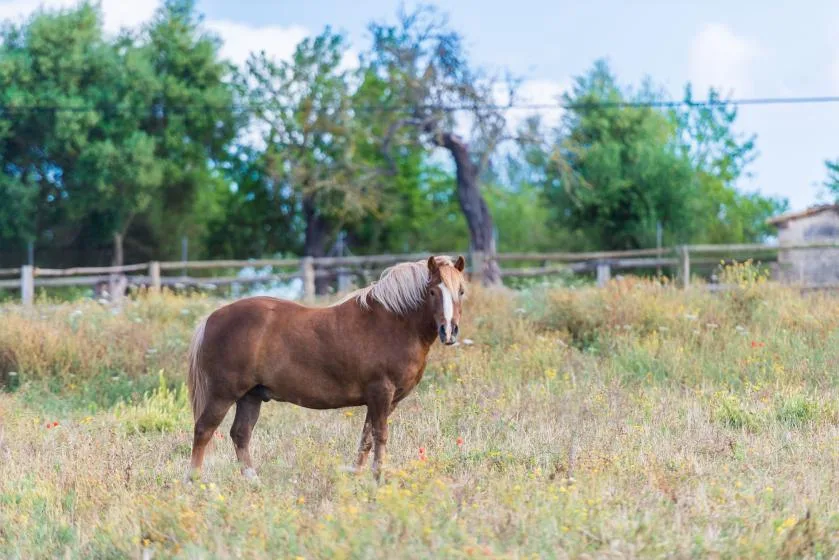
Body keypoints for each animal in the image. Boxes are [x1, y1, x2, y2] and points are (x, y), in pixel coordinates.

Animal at [185, 255, 467, 482]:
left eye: (461, 291)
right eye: (432, 291)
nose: (449, 331)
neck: (393, 322)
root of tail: (211, 318)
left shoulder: (384, 400)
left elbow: (365, 439)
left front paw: (357, 476)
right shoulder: (381, 393)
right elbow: (380, 436)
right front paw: (378, 479)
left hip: (251, 396)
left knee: (240, 435)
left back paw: (253, 481)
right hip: (223, 394)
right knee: (204, 431)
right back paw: (194, 481)